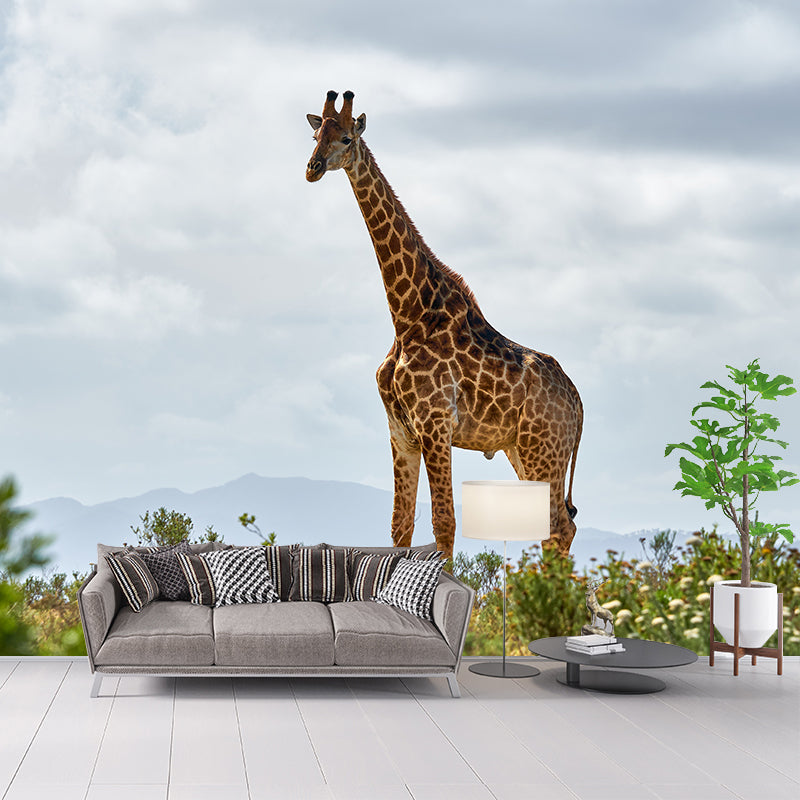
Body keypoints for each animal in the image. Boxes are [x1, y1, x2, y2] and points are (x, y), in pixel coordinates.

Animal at [306, 90, 583, 559]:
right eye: (314, 134)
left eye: (346, 138)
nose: (313, 167)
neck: (406, 316)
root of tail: (579, 405)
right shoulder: (401, 430)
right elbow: (400, 526)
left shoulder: (435, 423)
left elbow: (444, 523)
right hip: (522, 450)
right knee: (558, 528)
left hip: (544, 449)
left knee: (558, 527)